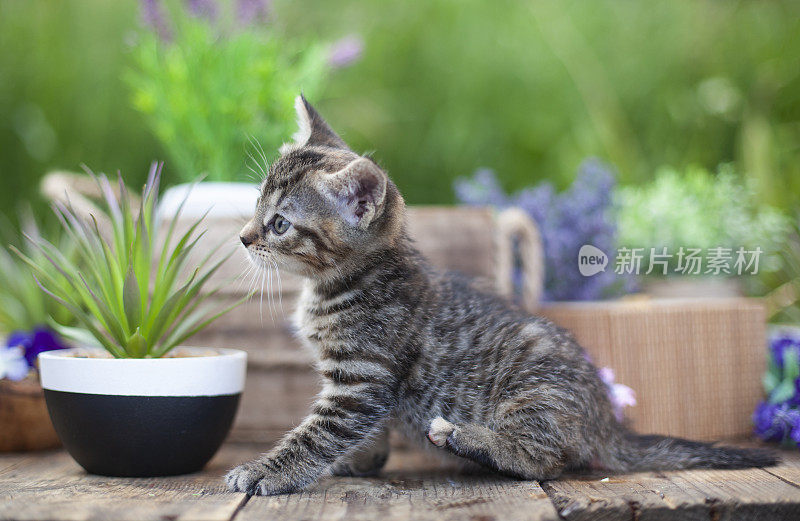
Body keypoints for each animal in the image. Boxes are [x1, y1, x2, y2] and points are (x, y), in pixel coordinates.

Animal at [225, 94, 776, 496]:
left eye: (279, 223)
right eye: (256, 207)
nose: (244, 237)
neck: (341, 283)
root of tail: (606, 419)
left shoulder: (361, 380)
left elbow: (316, 434)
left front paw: (265, 471)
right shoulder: (358, 383)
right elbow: (367, 432)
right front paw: (361, 461)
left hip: (532, 391)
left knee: (544, 462)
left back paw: (464, 437)